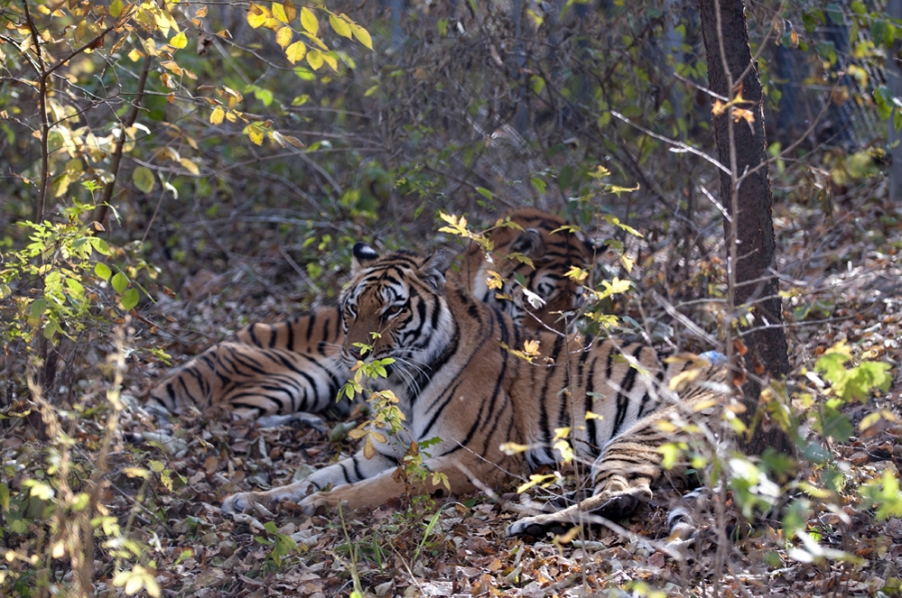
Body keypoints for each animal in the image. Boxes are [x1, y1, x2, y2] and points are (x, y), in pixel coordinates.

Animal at [220, 243, 734, 540]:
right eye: (351, 309)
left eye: (391, 311)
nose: (355, 355)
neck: (401, 387)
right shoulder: (381, 452)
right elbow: (319, 474)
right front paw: (254, 498)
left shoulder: (474, 459)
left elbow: (381, 486)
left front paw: (321, 505)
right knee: (630, 496)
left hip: (638, 434)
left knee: (627, 494)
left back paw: (530, 524)